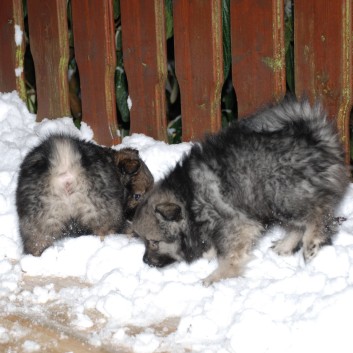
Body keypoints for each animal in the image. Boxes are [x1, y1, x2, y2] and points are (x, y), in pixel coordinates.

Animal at [133, 97, 350, 284]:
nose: (145, 261)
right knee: (299, 224)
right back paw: (285, 245)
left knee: (318, 214)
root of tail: (316, 137)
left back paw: (311, 243)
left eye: (154, 242)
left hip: (284, 196)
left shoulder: (236, 226)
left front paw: (215, 278)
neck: (189, 199)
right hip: (273, 201)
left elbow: (229, 256)